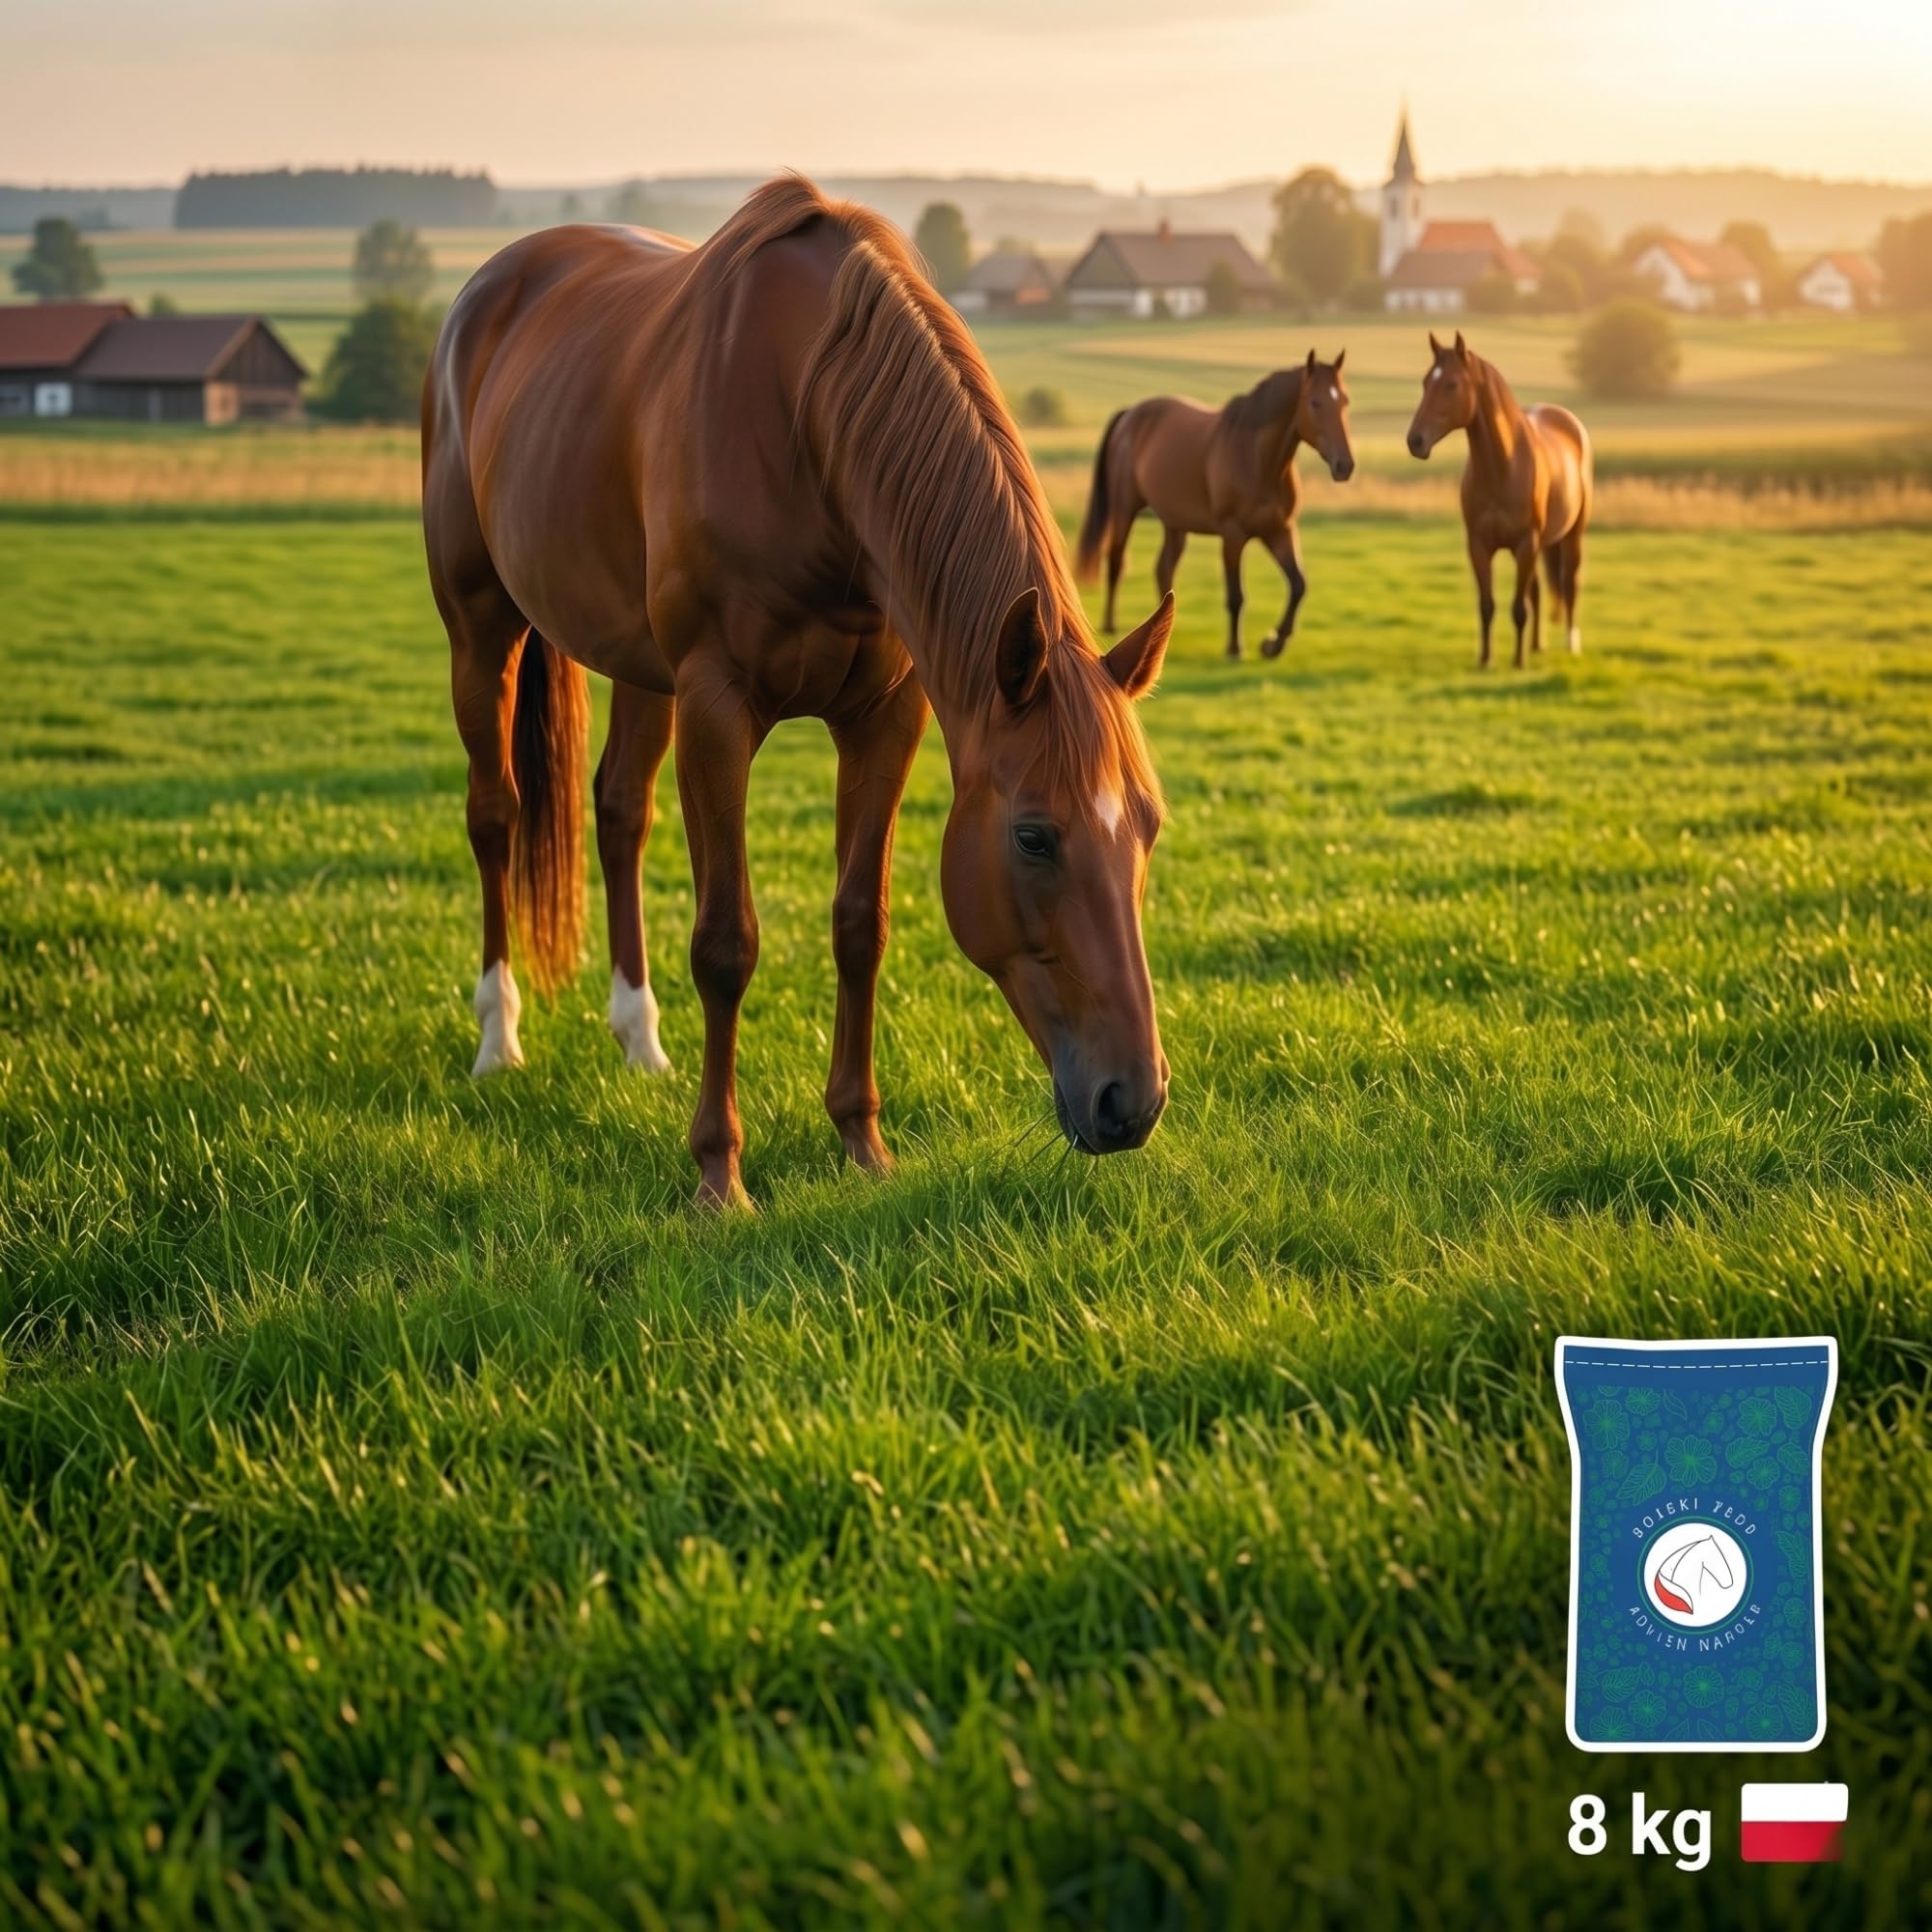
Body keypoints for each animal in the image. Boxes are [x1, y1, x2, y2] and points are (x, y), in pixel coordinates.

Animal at [422, 176, 1176, 1210]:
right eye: (1033, 836)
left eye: (1148, 824)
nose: (1132, 1102)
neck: (807, 427)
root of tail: (487, 289)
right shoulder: (717, 709)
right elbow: (725, 943)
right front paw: (719, 1174)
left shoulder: (886, 718)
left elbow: (862, 922)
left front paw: (862, 1141)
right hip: (481, 631)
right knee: (494, 815)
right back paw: (499, 1039)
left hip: (637, 667)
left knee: (619, 814)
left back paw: (639, 1039)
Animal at [1075, 352, 1354, 660]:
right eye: (1315, 402)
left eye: (1344, 400)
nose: (1345, 465)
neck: (1257, 460)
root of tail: (1130, 414)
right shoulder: (1233, 535)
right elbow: (1236, 595)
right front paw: (1235, 649)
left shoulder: (1279, 531)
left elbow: (1298, 585)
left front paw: (1273, 644)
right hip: (1125, 509)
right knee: (1115, 561)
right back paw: (1111, 626)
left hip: (1175, 524)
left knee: (1164, 568)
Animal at [1405, 331, 1593, 670]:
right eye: (1426, 382)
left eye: (1451, 384)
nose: (1415, 441)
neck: (1503, 468)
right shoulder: (1479, 546)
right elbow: (1487, 605)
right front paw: (1486, 660)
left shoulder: (1525, 544)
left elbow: (1518, 607)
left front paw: (1517, 663)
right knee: (1537, 591)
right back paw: (1536, 645)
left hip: (1572, 535)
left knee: (1570, 585)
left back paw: (1570, 645)